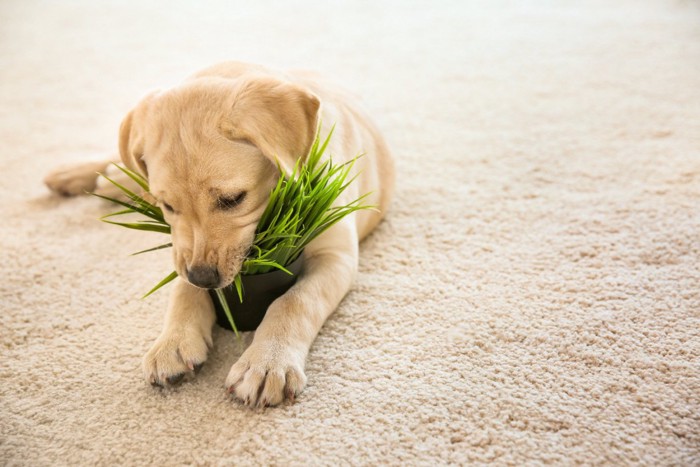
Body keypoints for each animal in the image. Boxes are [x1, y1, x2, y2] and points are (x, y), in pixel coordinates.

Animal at [44, 61, 394, 406]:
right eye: (167, 206)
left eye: (233, 199)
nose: (203, 277)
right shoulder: (182, 249)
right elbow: (182, 290)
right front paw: (173, 342)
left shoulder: (336, 256)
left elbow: (295, 301)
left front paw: (267, 362)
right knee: (124, 158)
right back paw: (78, 175)